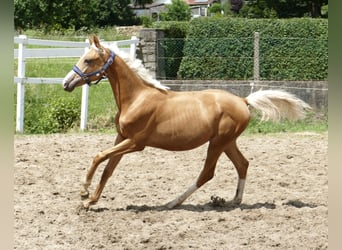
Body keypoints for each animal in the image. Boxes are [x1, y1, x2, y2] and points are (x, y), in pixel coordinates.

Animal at [62, 35, 312, 209]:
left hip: (218, 143)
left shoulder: (136, 142)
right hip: (227, 142)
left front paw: (84, 191)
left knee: (207, 173)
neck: (136, 98)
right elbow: (108, 169)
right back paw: (233, 200)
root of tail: (243, 100)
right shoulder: (121, 137)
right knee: (242, 164)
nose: (66, 83)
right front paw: (89, 202)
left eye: (89, 60)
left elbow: (98, 156)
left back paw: (172, 203)